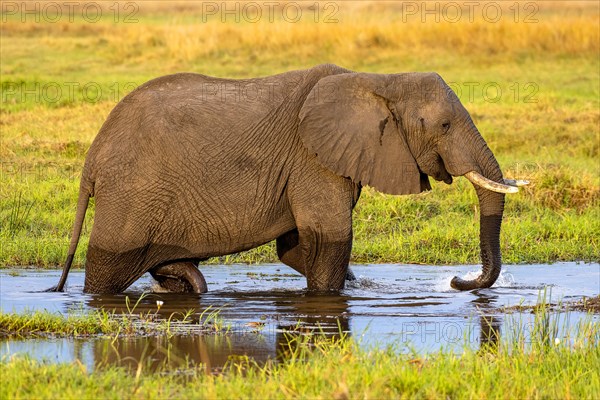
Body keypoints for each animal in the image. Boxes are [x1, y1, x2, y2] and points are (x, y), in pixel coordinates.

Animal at [55, 63, 524, 294]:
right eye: (444, 125)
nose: (457, 281)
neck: (378, 80)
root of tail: (92, 159)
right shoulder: (312, 159)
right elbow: (329, 239)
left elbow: (297, 247)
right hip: (130, 194)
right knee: (107, 269)